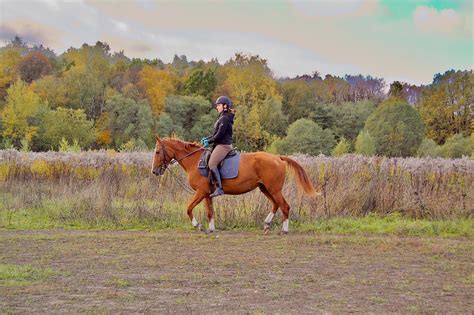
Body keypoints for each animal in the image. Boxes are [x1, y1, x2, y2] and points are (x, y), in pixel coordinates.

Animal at [152, 137, 318, 233]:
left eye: (158, 152)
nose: (154, 171)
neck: (195, 161)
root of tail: (278, 157)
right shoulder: (207, 194)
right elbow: (210, 212)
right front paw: (211, 228)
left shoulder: (200, 192)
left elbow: (188, 208)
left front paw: (197, 226)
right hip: (265, 189)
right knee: (276, 205)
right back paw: (267, 224)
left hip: (274, 189)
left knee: (284, 206)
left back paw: (284, 230)